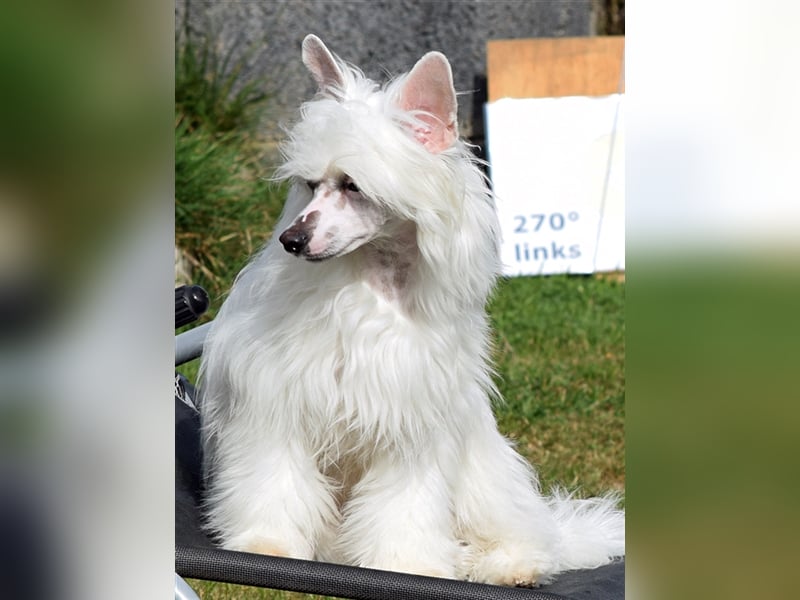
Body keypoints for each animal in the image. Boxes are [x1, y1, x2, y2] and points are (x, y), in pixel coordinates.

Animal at [197, 34, 620, 584]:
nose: (291, 240)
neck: (375, 286)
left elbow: (404, 506)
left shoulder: (411, 426)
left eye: (352, 185)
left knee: (525, 534)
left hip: (484, 478)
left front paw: (405, 563)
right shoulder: (276, 405)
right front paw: (267, 544)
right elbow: (273, 480)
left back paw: (504, 564)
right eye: (311, 185)